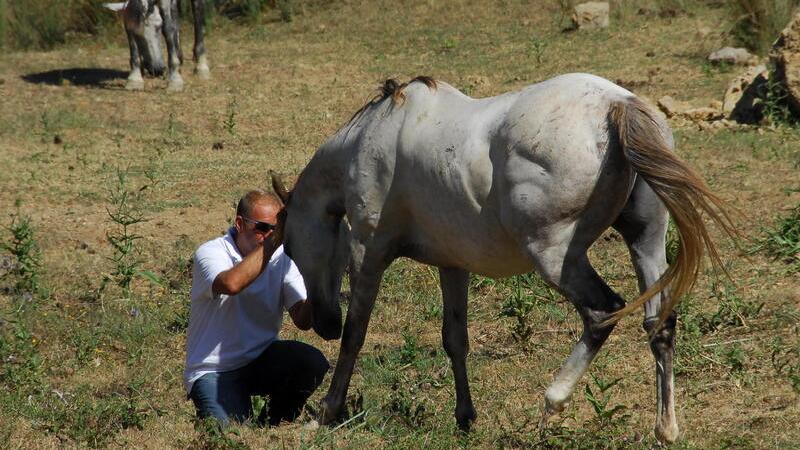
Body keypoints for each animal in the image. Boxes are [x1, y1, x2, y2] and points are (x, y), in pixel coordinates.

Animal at [271, 73, 736, 444]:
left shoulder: (368, 256)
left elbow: (355, 336)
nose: (321, 324)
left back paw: (554, 399)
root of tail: (616, 105)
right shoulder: (452, 265)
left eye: (289, 247)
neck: (375, 135)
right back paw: (666, 429)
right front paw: (464, 417)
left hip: (555, 256)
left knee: (603, 313)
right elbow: (455, 340)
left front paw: (326, 412)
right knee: (659, 324)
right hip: (645, 240)